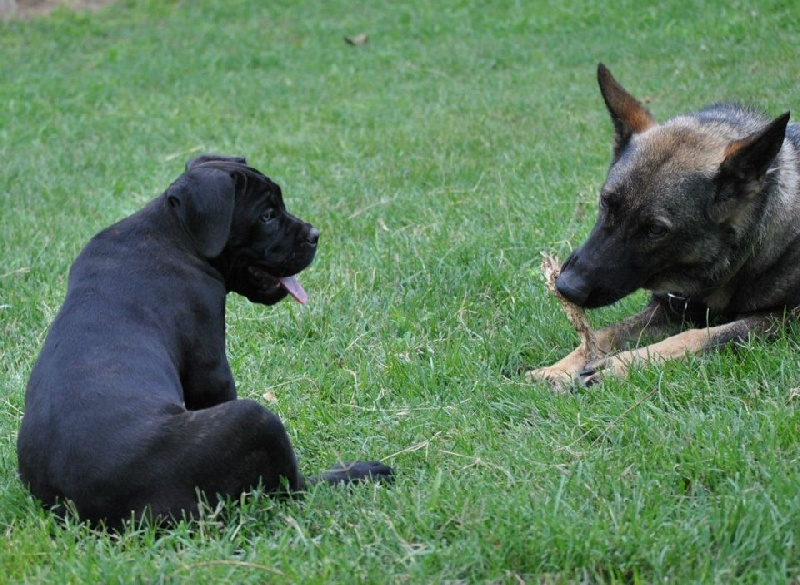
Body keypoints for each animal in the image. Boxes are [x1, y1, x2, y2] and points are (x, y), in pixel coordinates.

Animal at [17, 153, 392, 528]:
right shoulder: (211, 366)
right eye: (267, 217)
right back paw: (360, 472)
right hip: (256, 421)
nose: (315, 234)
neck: (176, 233)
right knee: (294, 489)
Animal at [528, 65, 796, 388]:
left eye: (656, 230)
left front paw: (620, 365)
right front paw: (559, 367)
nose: (567, 288)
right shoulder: (668, 308)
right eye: (606, 202)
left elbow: (701, 336)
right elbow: (606, 334)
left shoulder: (785, 316)